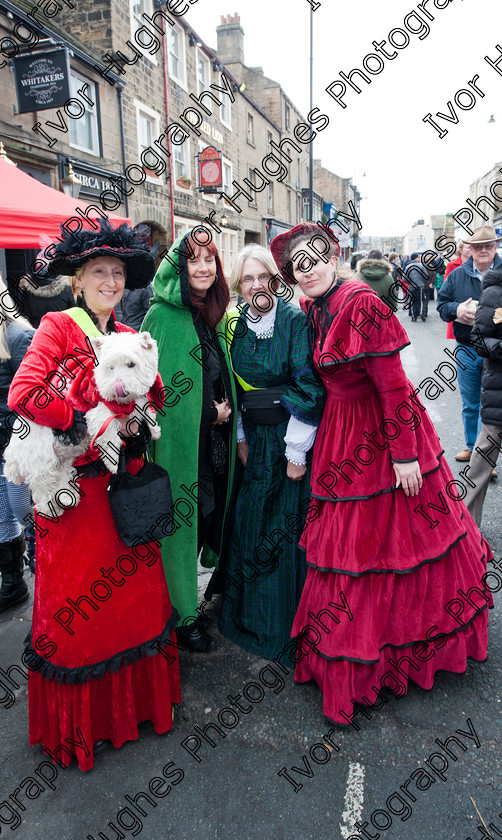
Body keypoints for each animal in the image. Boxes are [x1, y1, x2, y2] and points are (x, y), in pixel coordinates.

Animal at [3, 330, 161, 516]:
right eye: (110, 367)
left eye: (131, 364)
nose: (117, 387)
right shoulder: (100, 413)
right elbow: (109, 439)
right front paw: (113, 464)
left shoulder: (135, 402)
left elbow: (145, 409)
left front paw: (155, 429)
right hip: (40, 458)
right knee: (42, 487)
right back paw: (51, 509)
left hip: (62, 456)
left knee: (61, 474)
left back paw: (67, 497)